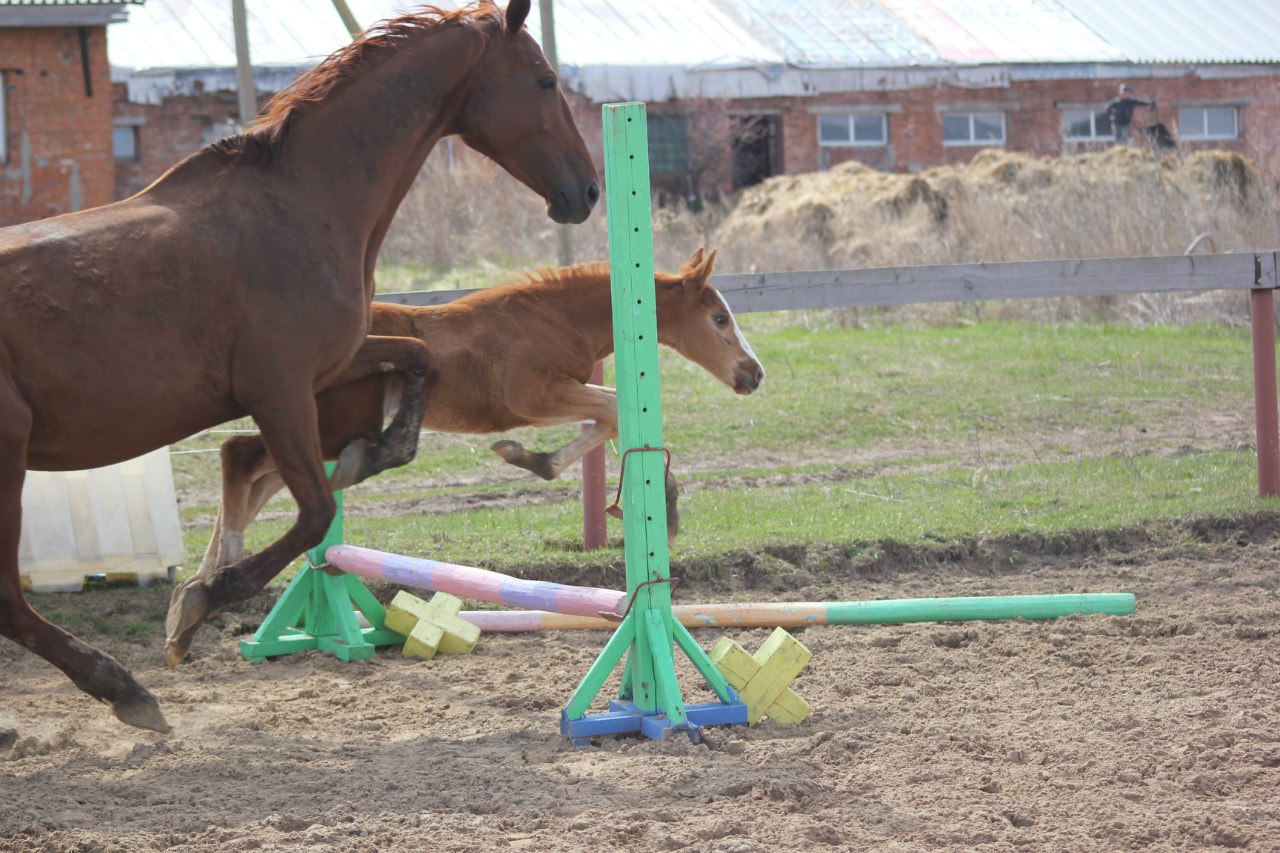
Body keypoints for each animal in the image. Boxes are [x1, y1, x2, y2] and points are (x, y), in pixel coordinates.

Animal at [0, 1, 599, 732]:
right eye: (544, 80)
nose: (587, 190)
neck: (303, 203)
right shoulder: (280, 390)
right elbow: (314, 513)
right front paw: (199, 601)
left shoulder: (331, 365)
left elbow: (419, 365)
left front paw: (368, 455)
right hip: (8, 458)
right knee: (9, 600)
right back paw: (124, 689)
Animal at [194, 247, 762, 584]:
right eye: (719, 319)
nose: (753, 375)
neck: (555, 318)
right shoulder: (532, 396)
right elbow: (615, 408)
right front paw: (533, 459)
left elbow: (611, 413)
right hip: (334, 423)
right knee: (238, 456)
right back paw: (220, 573)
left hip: (322, 434)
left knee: (258, 480)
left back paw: (203, 587)